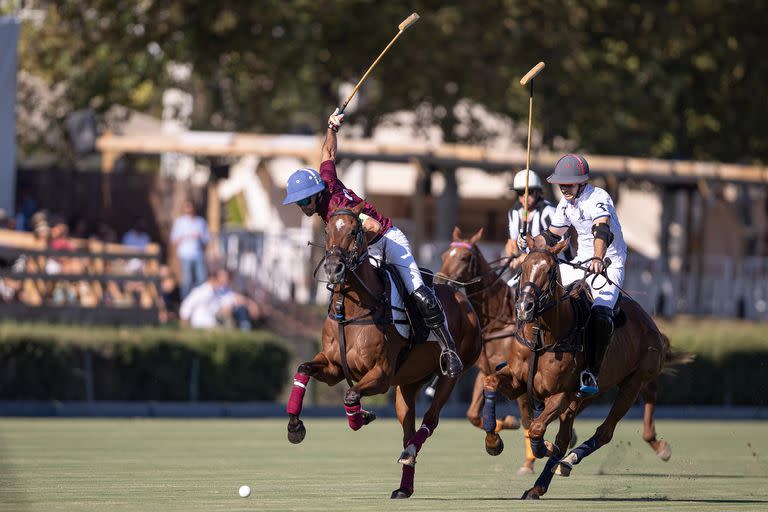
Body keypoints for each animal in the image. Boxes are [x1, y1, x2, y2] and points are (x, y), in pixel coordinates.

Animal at [284, 205, 484, 500]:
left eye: (353, 231)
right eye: (326, 231)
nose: (334, 269)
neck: (352, 309)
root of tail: (464, 300)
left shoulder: (381, 375)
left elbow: (350, 394)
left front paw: (361, 417)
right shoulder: (333, 367)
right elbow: (303, 369)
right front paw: (295, 427)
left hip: (452, 374)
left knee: (431, 418)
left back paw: (409, 452)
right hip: (408, 384)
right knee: (407, 426)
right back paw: (404, 486)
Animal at [436, 228, 536, 476]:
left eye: (464, 257)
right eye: (444, 255)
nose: (439, 280)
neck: (499, 323)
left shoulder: (520, 377)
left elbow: (528, 419)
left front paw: (529, 462)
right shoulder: (485, 371)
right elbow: (473, 415)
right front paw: (506, 424)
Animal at [484, 237, 688, 500]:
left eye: (550, 270)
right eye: (524, 267)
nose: (524, 307)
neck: (543, 336)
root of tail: (652, 325)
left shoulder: (562, 393)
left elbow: (538, 429)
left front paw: (545, 448)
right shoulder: (518, 382)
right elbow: (491, 382)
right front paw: (493, 443)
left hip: (632, 383)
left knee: (604, 432)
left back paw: (568, 460)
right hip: (591, 393)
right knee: (567, 433)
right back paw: (540, 484)